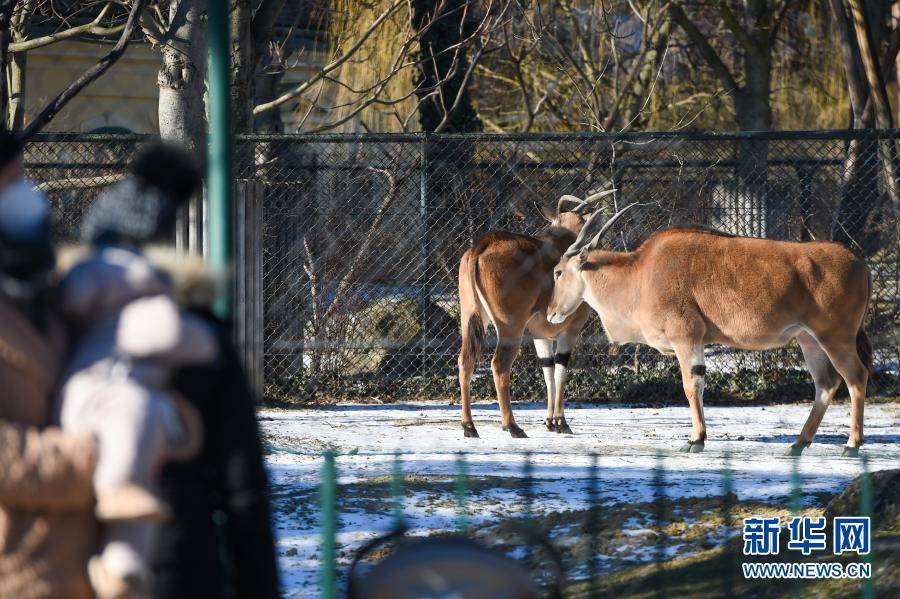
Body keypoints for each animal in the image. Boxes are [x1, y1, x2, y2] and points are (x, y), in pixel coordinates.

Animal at [458, 190, 620, 438]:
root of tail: (481, 247)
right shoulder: (570, 331)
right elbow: (560, 370)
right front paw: (561, 422)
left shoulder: (539, 335)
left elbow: (548, 371)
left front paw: (550, 422)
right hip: (510, 328)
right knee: (499, 365)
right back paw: (512, 426)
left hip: (470, 320)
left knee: (465, 361)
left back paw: (469, 425)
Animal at [544, 204, 876, 458]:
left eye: (558, 272)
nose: (550, 312)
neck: (640, 275)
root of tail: (860, 263)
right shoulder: (697, 343)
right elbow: (698, 385)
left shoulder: (686, 339)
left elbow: (691, 386)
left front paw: (696, 440)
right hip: (809, 340)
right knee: (826, 384)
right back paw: (798, 443)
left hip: (835, 337)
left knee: (855, 376)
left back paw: (852, 444)